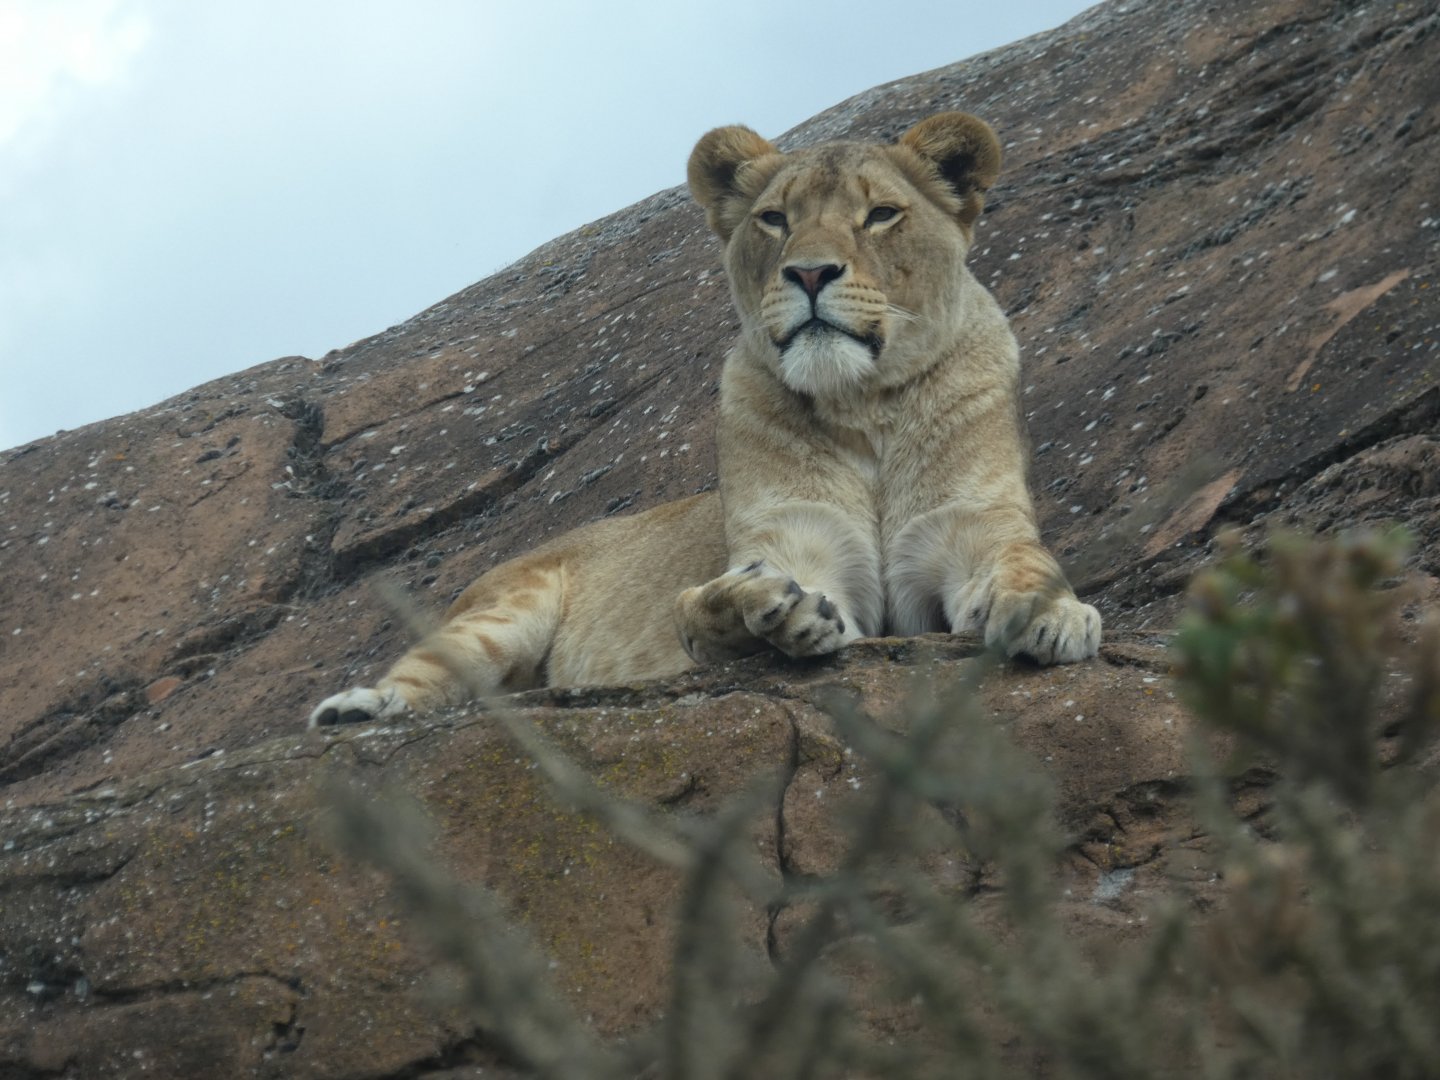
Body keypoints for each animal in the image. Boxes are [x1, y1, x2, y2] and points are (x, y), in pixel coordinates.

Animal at [308, 112, 1100, 727]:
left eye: (880, 214)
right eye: (775, 219)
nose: (809, 273)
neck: (865, 405)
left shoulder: (971, 530)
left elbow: (1027, 563)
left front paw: (1054, 614)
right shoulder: (798, 545)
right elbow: (702, 606)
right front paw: (766, 607)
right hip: (502, 612)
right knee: (430, 671)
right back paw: (358, 710)